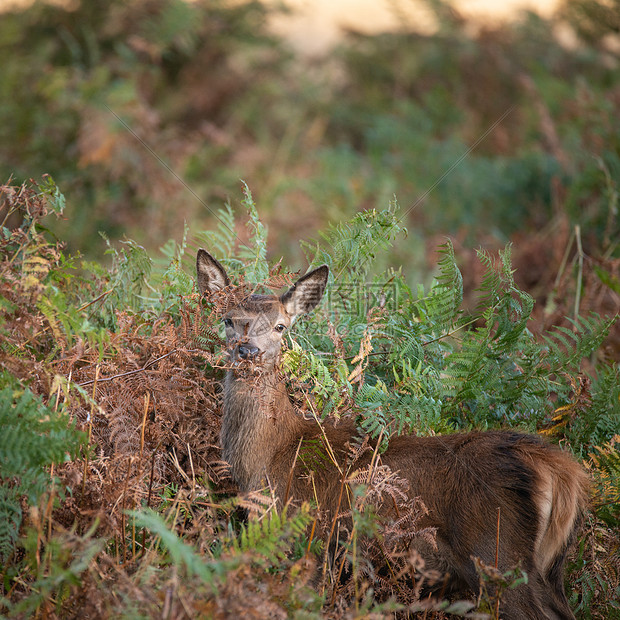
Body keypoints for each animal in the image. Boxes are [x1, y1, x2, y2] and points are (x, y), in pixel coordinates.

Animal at [196, 249, 588, 616]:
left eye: (280, 326)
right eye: (228, 320)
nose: (248, 350)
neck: (268, 458)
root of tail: (557, 467)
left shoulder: (303, 533)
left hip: (497, 550)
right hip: (545, 569)